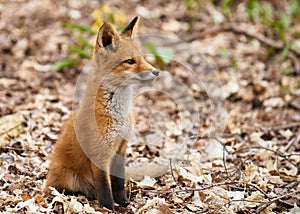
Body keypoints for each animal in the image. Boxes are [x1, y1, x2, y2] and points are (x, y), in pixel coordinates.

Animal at [45, 16, 158, 211]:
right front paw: (108, 209)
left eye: (143, 58)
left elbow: (118, 183)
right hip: (67, 178)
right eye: (130, 61)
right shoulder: (99, 153)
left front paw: (123, 203)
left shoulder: (121, 147)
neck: (118, 115)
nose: (156, 72)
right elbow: (105, 189)